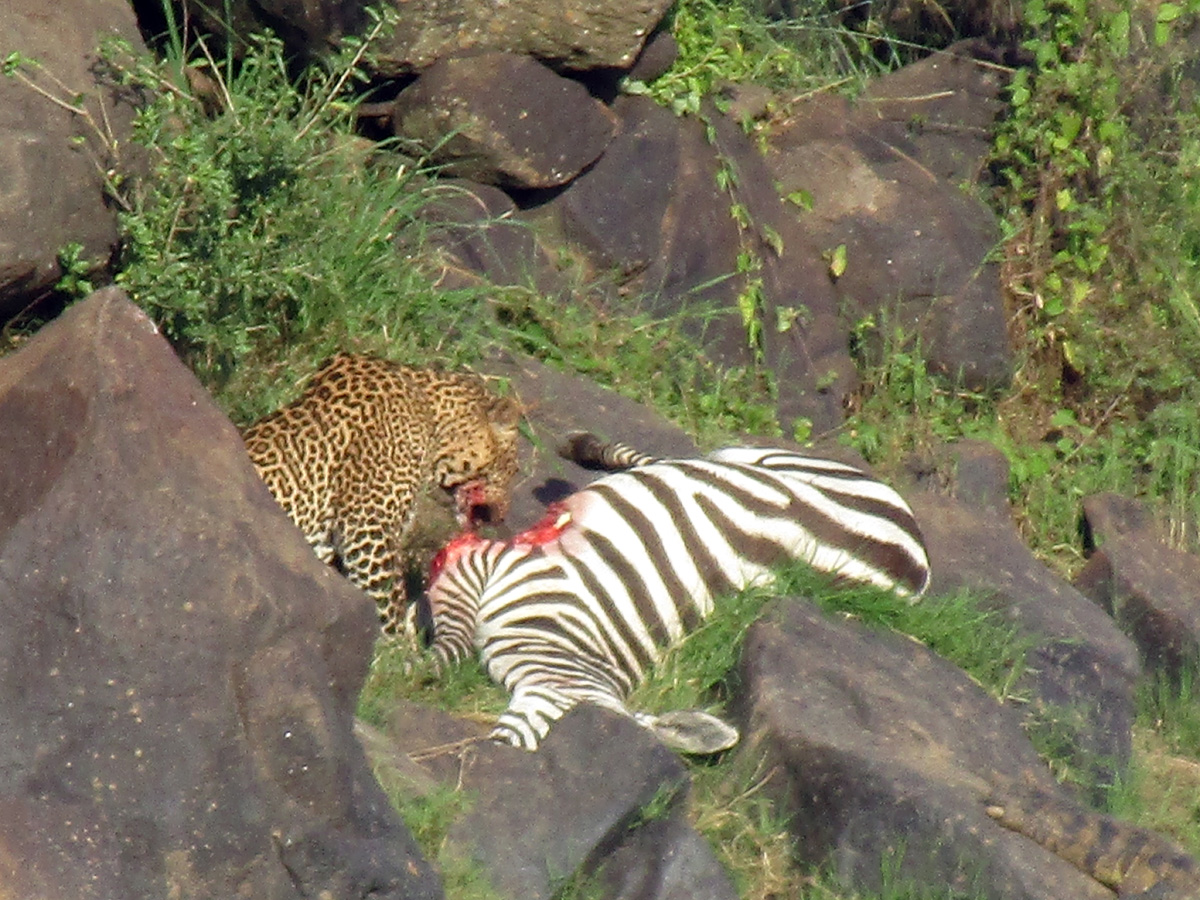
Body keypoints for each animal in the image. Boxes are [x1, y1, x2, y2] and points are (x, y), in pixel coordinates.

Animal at [423, 433, 931, 752]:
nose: (496, 749)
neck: (564, 642)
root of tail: (920, 553)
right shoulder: (488, 570)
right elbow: (449, 646)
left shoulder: (484, 567)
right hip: (763, 462)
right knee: (674, 461)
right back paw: (583, 448)